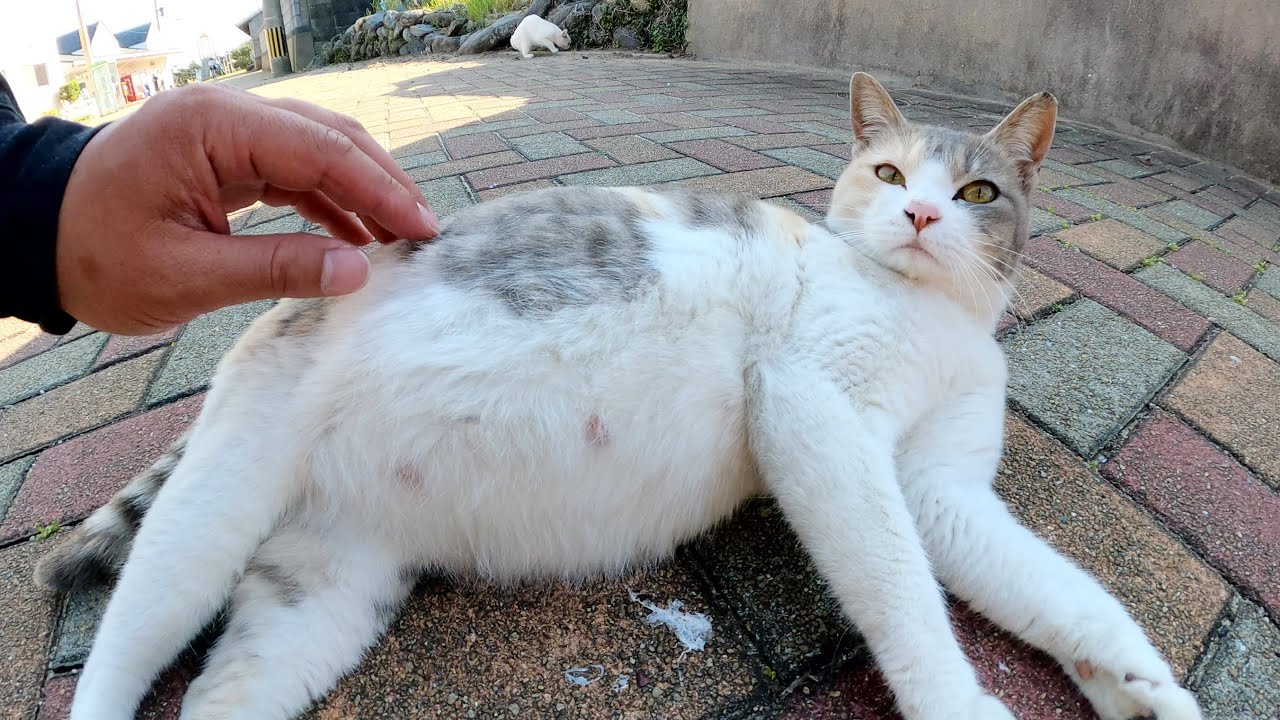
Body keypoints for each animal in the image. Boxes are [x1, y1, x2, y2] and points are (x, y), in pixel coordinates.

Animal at [40, 74, 1198, 717]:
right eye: (885, 174)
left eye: (976, 192)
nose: (918, 216)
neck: (937, 319)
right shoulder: (812, 409)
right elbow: (898, 588)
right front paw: (958, 703)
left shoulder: (940, 488)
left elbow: (1062, 591)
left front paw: (1140, 687)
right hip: (202, 527)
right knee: (121, 656)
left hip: (313, 596)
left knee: (222, 689)